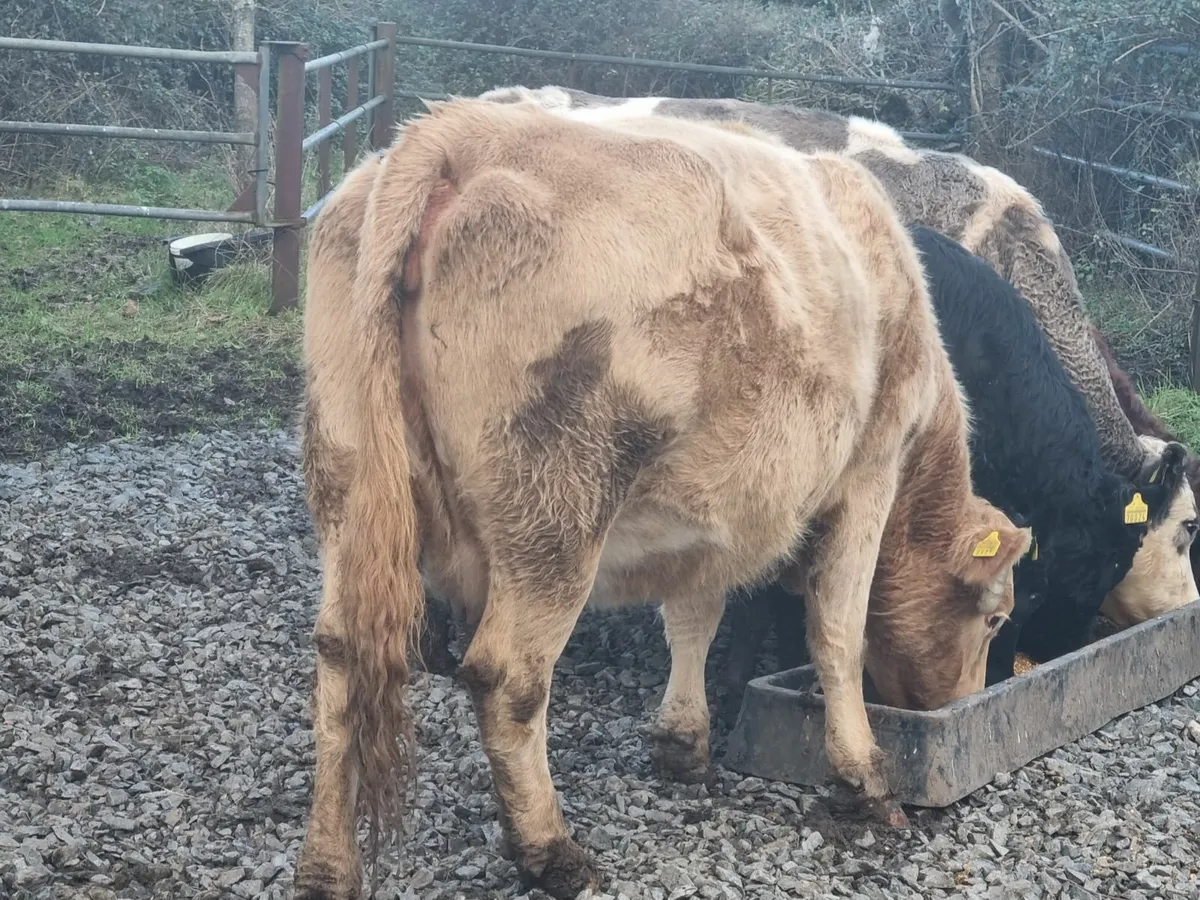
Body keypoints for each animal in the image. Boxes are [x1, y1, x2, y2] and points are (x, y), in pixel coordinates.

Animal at [294, 99, 1030, 899]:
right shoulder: (870, 471)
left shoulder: (710, 510)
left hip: (348, 482)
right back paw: (551, 851)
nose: (954, 703)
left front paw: (683, 741)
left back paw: (327, 867)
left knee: (341, 655)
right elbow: (838, 632)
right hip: (555, 510)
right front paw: (864, 776)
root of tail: (457, 131)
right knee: (505, 677)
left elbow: (693, 617)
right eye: (995, 618)